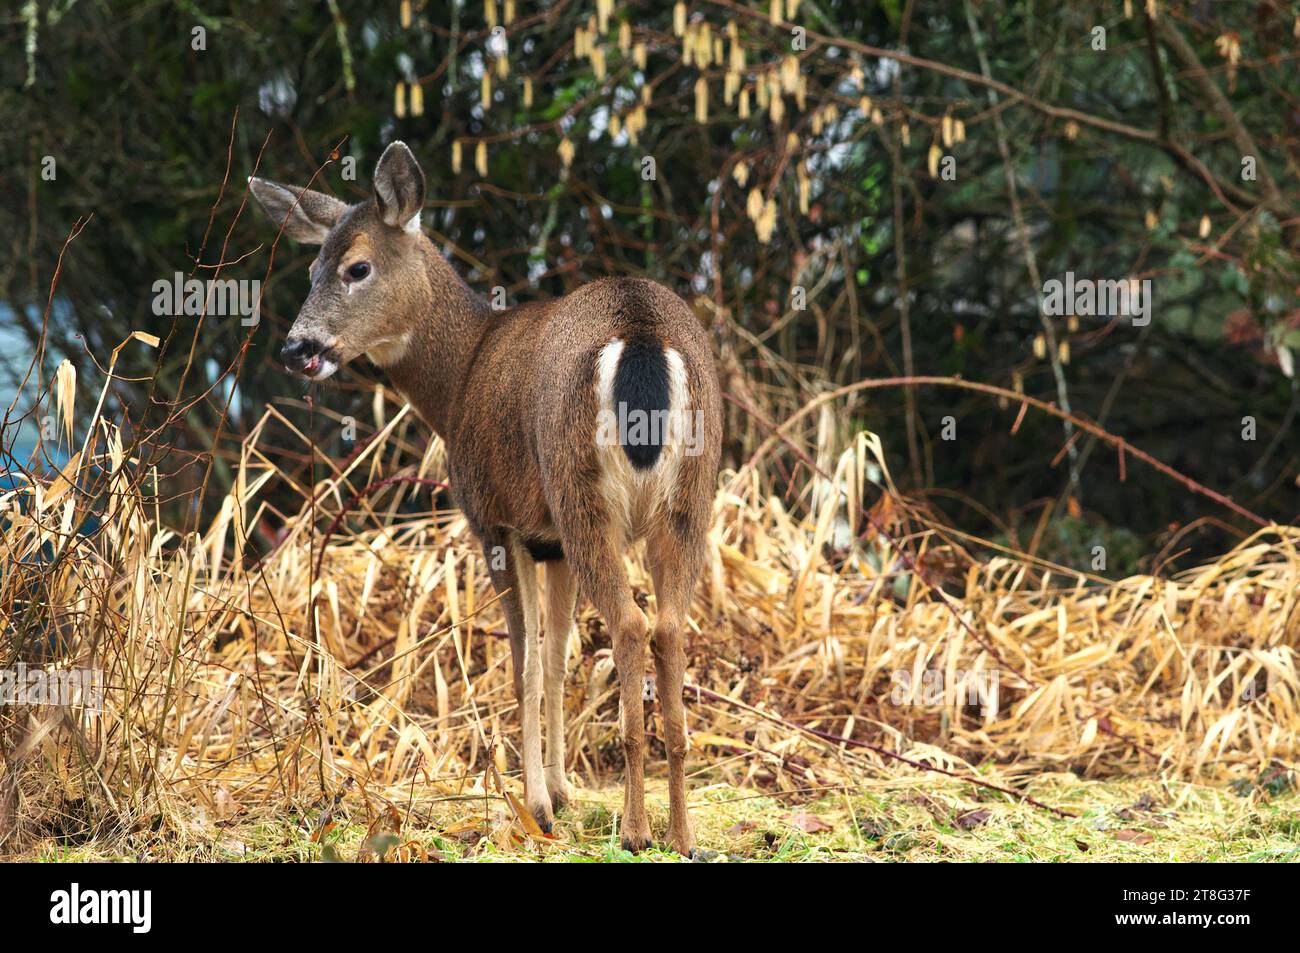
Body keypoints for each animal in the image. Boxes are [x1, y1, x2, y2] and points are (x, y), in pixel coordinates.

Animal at [250, 142, 721, 855]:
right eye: (311, 267)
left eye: (357, 267)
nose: (298, 348)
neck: (460, 376)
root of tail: (641, 331)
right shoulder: (549, 539)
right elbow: (555, 660)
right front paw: (562, 791)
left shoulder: (496, 520)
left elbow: (524, 660)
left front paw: (537, 808)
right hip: (687, 498)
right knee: (668, 625)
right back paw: (682, 832)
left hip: (580, 492)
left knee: (632, 624)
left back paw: (638, 832)